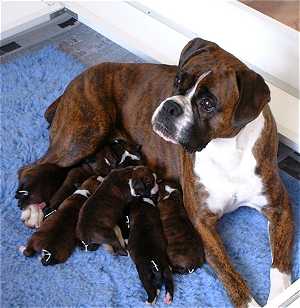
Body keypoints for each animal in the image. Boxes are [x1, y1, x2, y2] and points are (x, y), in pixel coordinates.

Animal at [28, 38, 292, 306]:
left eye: (207, 104)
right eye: (178, 81)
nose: (170, 105)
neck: (228, 148)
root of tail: (80, 76)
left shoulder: (280, 209)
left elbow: (280, 266)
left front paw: (280, 297)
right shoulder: (203, 223)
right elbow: (232, 276)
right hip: (82, 136)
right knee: (34, 167)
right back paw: (32, 211)